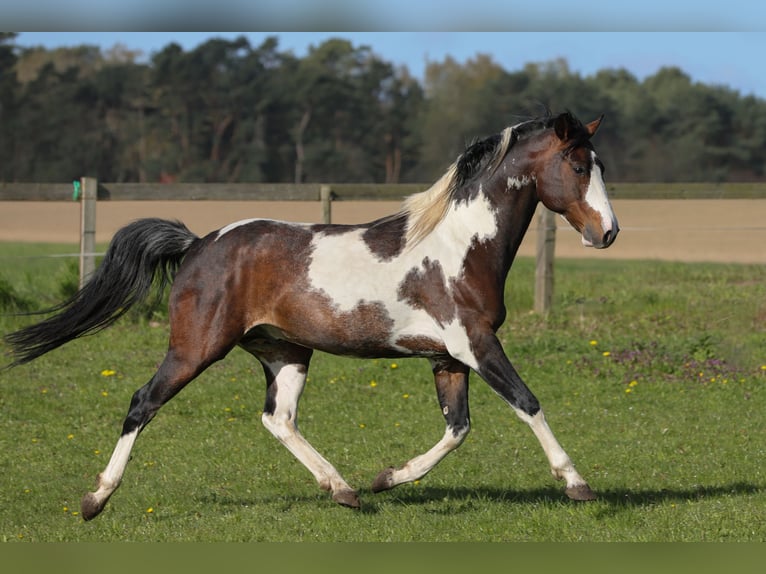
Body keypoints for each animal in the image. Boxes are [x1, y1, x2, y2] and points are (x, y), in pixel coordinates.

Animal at [4, 110, 616, 520]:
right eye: (577, 164)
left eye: (599, 164)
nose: (607, 233)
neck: (460, 247)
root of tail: (199, 242)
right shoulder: (477, 343)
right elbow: (528, 404)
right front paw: (577, 484)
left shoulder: (448, 357)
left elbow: (457, 429)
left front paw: (387, 478)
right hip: (195, 348)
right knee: (141, 403)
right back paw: (94, 499)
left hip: (286, 351)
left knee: (279, 419)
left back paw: (344, 489)